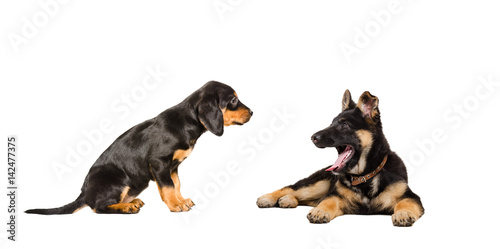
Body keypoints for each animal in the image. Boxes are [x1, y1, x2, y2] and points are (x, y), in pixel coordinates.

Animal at [26, 81, 254, 214]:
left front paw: (182, 200)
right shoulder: (159, 163)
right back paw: (127, 207)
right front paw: (175, 205)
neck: (186, 122)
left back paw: (132, 202)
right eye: (233, 99)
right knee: (98, 208)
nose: (252, 112)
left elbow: (176, 185)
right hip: (116, 180)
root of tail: (83, 192)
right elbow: (168, 188)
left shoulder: (173, 166)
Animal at [256, 90, 424, 227]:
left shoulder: (411, 197)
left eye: (344, 125)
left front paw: (403, 213)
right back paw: (269, 198)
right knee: (292, 188)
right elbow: (327, 201)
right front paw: (320, 211)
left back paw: (288, 200)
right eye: (331, 123)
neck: (365, 176)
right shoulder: (336, 197)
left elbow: (405, 203)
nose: (313, 137)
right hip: (317, 185)